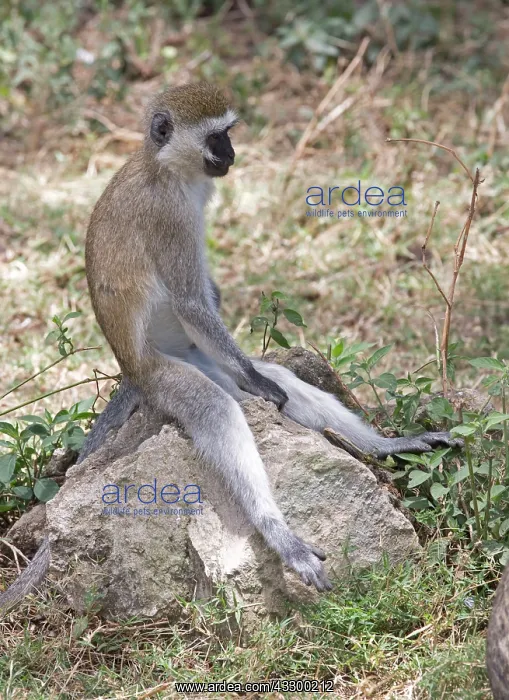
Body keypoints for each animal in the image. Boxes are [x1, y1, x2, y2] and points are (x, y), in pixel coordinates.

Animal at [0, 82, 463, 612]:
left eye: (228, 133)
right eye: (215, 137)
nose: (232, 154)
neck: (165, 167)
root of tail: (131, 370)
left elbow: (216, 310)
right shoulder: (169, 217)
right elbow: (190, 301)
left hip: (198, 355)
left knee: (274, 378)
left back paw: (383, 446)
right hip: (163, 375)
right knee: (217, 406)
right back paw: (279, 531)